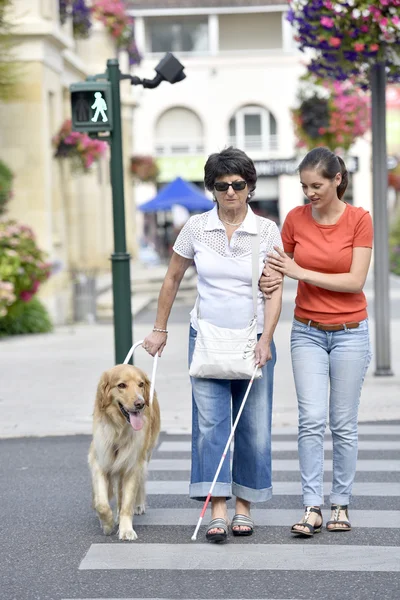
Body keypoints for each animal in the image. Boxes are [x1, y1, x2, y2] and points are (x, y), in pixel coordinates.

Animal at [89, 364, 161, 540]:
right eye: (121, 385)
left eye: (140, 384)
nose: (140, 403)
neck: (119, 429)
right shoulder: (100, 461)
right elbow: (101, 503)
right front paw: (107, 523)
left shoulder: (132, 465)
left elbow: (127, 503)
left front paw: (126, 529)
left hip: (145, 456)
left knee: (139, 483)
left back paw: (138, 505)